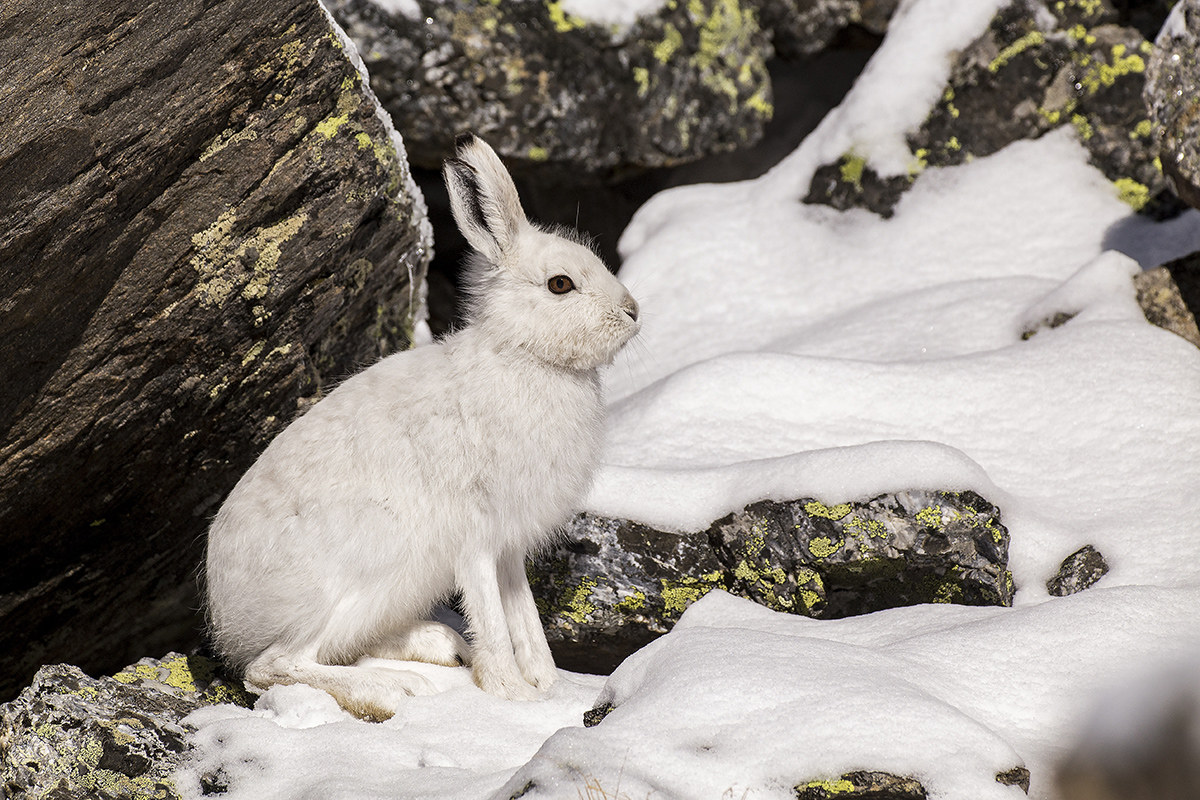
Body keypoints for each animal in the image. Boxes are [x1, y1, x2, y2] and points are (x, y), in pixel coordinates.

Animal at [204, 133, 640, 720]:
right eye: (560, 284)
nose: (633, 311)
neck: (525, 356)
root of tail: (228, 618)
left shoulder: (509, 547)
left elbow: (524, 617)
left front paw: (549, 689)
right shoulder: (476, 538)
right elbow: (495, 624)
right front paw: (511, 694)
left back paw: (441, 646)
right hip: (366, 562)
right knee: (273, 666)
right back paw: (392, 690)